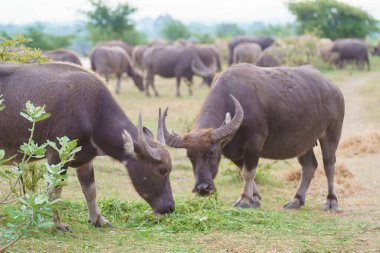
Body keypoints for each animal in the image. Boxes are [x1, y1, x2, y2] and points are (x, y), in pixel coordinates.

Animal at [0, 61, 175, 231]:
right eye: (161, 170)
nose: (170, 207)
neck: (93, 113)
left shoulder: (85, 160)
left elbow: (90, 190)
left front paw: (99, 219)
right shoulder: (57, 156)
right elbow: (54, 190)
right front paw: (57, 224)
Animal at [162, 63, 346, 211]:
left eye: (212, 152)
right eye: (190, 156)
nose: (202, 188)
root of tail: (334, 88)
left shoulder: (254, 143)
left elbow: (248, 172)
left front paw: (245, 200)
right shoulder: (234, 152)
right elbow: (245, 172)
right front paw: (254, 199)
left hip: (331, 133)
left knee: (329, 165)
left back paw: (331, 201)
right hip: (303, 142)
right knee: (309, 166)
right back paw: (296, 201)